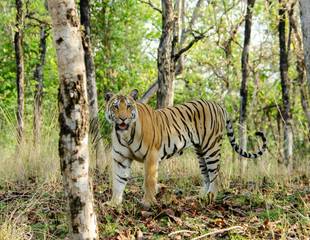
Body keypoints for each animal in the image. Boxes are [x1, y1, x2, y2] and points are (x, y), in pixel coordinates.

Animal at [104, 89, 266, 207]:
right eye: (115, 106)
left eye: (129, 106)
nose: (123, 118)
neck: (125, 134)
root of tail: (218, 105)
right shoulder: (120, 159)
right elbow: (118, 181)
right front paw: (113, 203)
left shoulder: (151, 156)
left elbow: (149, 181)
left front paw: (147, 202)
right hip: (200, 152)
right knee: (206, 175)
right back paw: (201, 196)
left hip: (211, 148)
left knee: (216, 175)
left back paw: (211, 197)